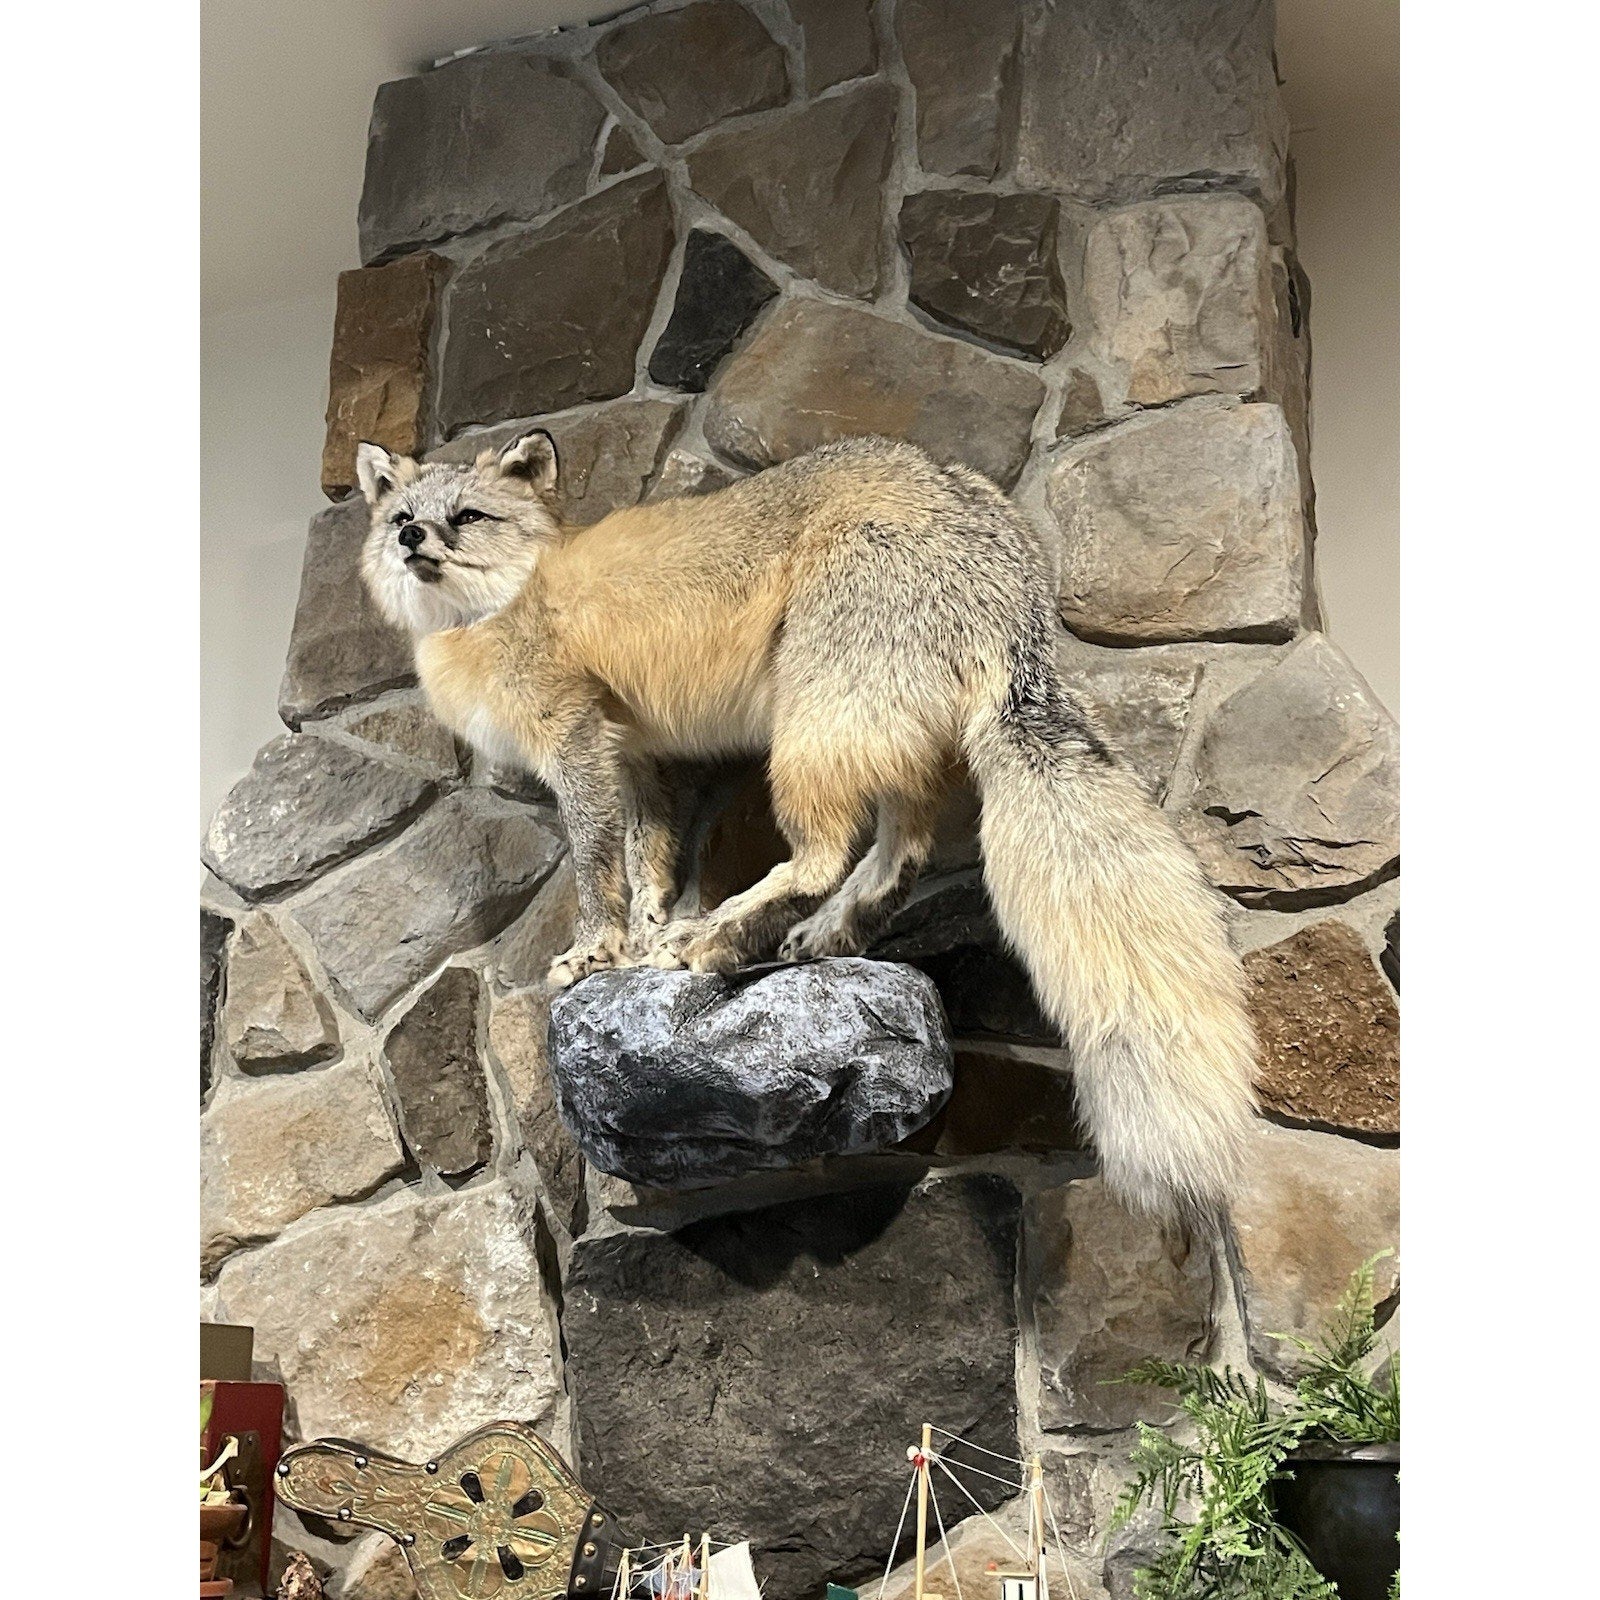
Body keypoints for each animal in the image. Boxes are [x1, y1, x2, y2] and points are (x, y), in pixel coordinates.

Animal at [356, 428, 1258, 1220]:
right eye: (401, 517)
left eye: (467, 516)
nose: (413, 541)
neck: (509, 600)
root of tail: (997, 541)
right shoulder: (639, 757)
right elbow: (650, 863)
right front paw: (643, 937)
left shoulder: (578, 744)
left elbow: (596, 867)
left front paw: (597, 951)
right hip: (890, 748)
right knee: (899, 856)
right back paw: (819, 933)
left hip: (809, 735)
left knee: (826, 855)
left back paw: (718, 936)